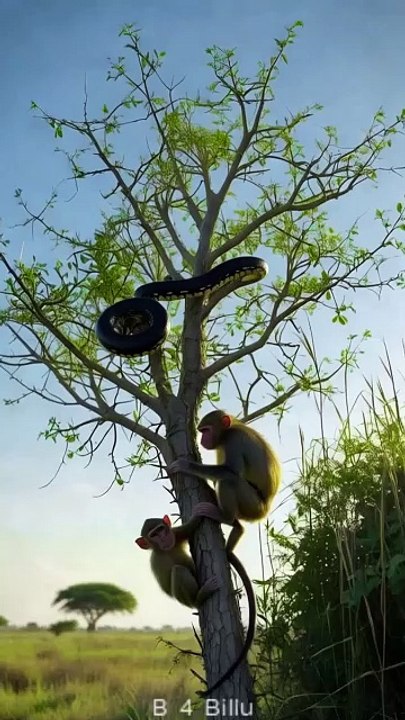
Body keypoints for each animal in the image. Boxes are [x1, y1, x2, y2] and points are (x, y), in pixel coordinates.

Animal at [135, 503, 256, 696]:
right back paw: (201, 597)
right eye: (153, 535)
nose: (163, 538)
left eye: (161, 529)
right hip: (189, 599)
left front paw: (200, 514)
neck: (165, 549)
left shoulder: (176, 533)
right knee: (179, 571)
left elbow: (190, 528)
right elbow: (168, 587)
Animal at [167, 410, 281, 553]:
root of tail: (266, 508)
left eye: (206, 430)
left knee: (229, 480)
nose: (202, 440)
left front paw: (187, 466)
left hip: (254, 507)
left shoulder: (233, 440)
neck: (228, 430)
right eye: (201, 431)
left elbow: (231, 471)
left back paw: (225, 517)